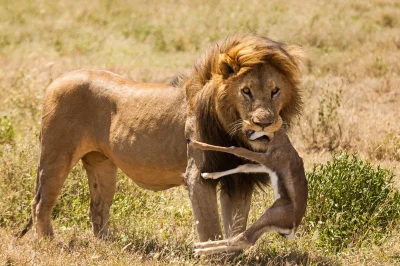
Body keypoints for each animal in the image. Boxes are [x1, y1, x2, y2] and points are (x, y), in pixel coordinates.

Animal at [20, 33, 302, 243]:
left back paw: (108, 243)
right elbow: (210, 228)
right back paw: (50, 243)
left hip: (102, 166)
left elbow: (236, 226)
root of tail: (57, 79)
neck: (232, 130)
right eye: (246, 91)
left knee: (97, 208)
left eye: (275, 91)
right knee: (40, 204)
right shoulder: (198, 176)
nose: (264, 123)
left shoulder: (238, 180)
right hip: (56, 154)